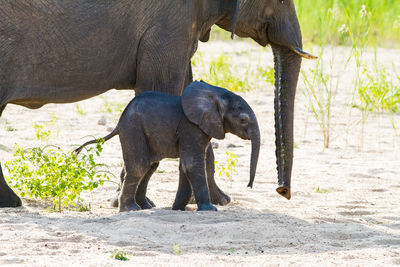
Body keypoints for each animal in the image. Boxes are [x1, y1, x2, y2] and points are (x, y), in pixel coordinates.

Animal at [74, 81, 260, 214]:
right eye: (243, 120)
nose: (249, 186)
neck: (216, 94)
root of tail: (119, 122)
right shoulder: (191, 127)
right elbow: (192, 164)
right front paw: (210, 210)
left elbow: (185, 166)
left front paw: (178, 209)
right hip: (133, 129)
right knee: (139, 167)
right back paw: (131, 209)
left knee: (150, 167)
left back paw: (146, 207)